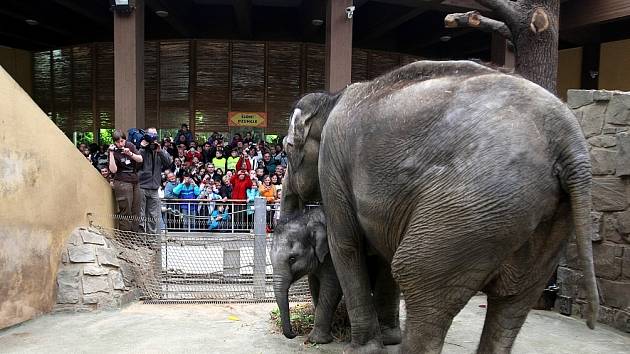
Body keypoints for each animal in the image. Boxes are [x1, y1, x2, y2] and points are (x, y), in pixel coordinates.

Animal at [270, 207, 344, 342]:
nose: (294, 333)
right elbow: (314, 285)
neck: (309, 218)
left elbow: (331, 286)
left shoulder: (332, 255)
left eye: (292, 259)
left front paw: (317, 340)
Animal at [288, 59, 604, 352]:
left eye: (288, 148)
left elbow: (346, 244)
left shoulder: (333, 162)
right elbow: (379, 251)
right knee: (514, 301)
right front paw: (387, 340)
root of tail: (570, 143)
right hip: (544, 219)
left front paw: (363, 349)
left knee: (416, 274)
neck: (332, 99)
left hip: (471, 205)